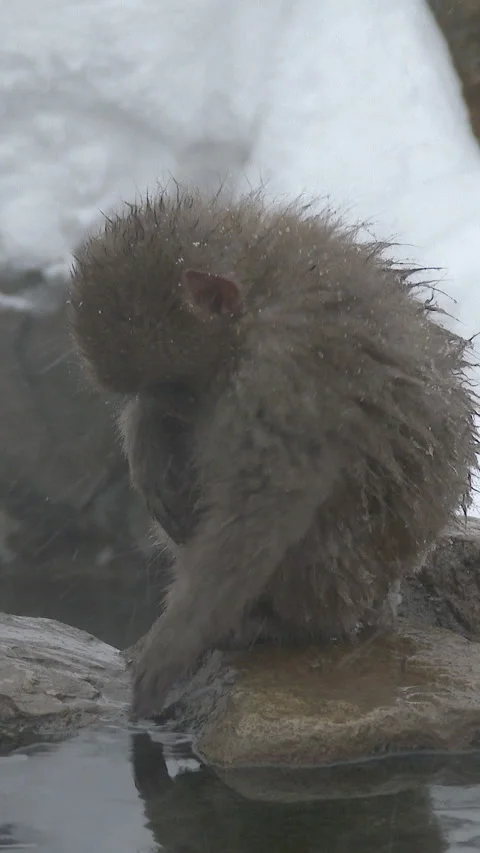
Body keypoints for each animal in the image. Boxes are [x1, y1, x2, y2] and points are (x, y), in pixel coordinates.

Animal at [68, 185, 479, 719]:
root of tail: (377, 599)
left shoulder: (283, 370)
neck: (259, 290)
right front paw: (146, 434)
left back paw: (271, 624)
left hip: (339, 579)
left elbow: (265, 505)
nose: (167, 406)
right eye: (156, 388)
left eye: (176, 385)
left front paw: (169, 652)